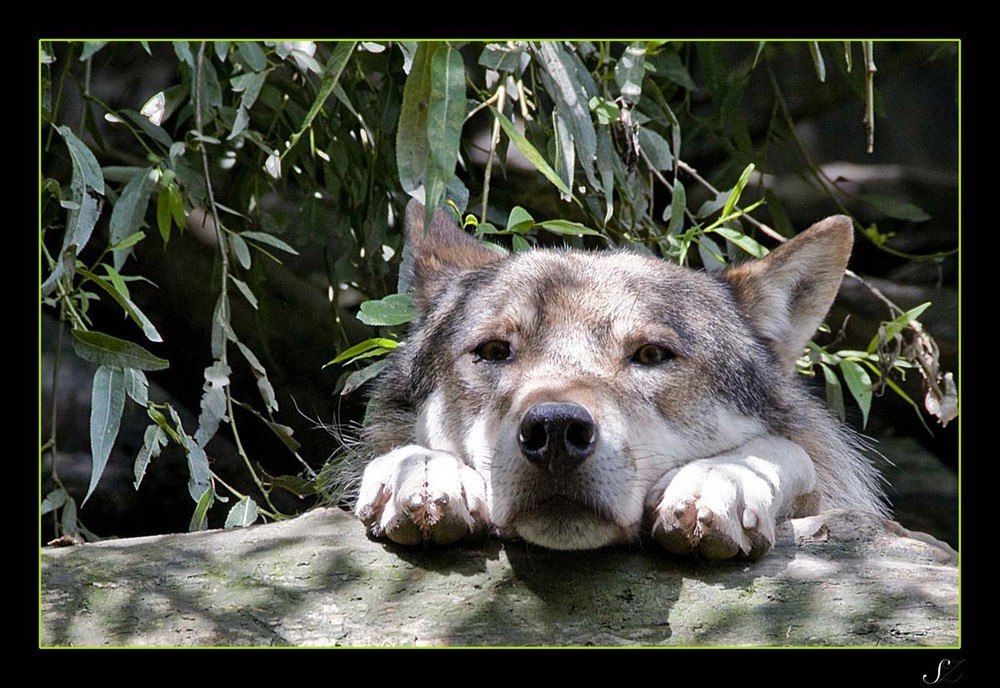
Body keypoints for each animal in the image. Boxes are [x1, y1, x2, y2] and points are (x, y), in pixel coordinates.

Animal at [350, 199, 886, 559]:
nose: (555, 430)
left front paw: (723, 477)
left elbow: (788, 453)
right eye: (495, 351)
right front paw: (419, 470)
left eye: (650, 354)